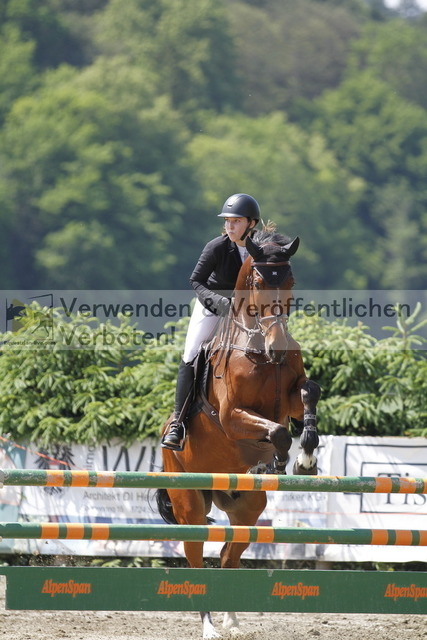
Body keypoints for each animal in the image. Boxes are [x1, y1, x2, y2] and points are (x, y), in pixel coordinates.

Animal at [157, 229, 321, 639]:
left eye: (290, 281)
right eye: (259, 283)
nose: (277, 347)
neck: (259, 346)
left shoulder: (291, 397)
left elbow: (309, 394)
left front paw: (307, 458)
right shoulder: (233, 416)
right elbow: (278, 432)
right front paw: (279, 461)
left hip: (247, 509)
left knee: (230, 554)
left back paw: (231, 619)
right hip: (191, 507)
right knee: (197, 559)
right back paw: (210, 627)